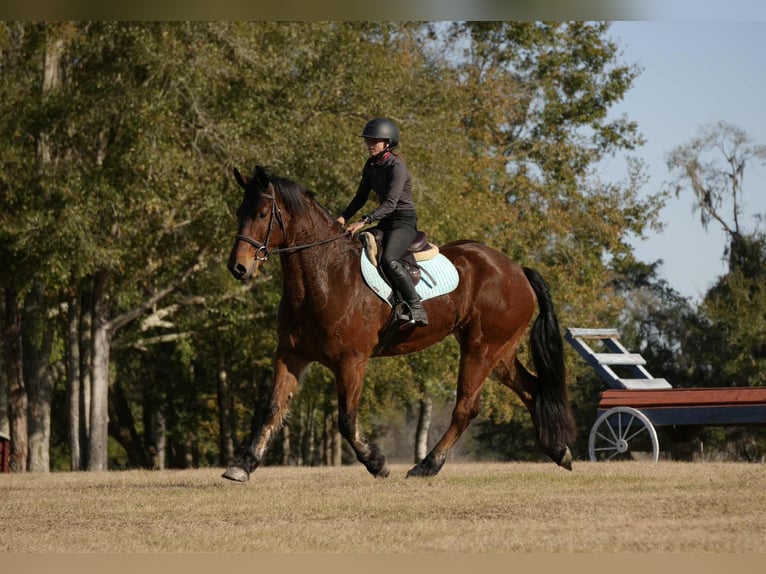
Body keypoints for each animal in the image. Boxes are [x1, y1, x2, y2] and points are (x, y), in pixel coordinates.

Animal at [223, 165, 576, 482]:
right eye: (240, 212)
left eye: (262, 214)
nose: (238, 268)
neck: (323, 276)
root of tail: (516, 270)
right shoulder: (291, 355)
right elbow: (272, 409)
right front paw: (243, 465)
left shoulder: (351, 361)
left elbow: (346, 420)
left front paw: (376, 463)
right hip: (499, 352)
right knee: (531, 388)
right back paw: (558, 451)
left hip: (481, 349)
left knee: (466, 407)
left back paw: (426, 466)